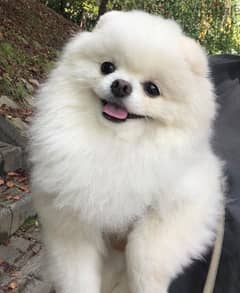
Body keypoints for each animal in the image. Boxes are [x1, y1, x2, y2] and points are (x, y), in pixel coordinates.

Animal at [29, 10, 223, 292]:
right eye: (107, 67)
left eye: (152, 89)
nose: (120, 85)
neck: (116, 144)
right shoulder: (70, 217)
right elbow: (77, 272)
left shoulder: (189, 202)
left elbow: (144, 254)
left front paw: (147, 285)